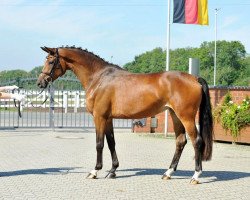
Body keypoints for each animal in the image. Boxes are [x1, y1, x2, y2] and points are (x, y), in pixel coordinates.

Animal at [37, 46, 213, 184]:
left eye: (51, 61)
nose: (40, 82)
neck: (99, 78)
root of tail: (195, 78)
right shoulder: (108, 119)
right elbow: (111, 143)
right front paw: (112, 171)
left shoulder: (99, 117)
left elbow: (99, 144)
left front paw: (95, 171)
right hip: (175, 115)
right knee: (180, 141)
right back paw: (168, 173)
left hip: (186, 117)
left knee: (196, 141)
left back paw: (196, 175)